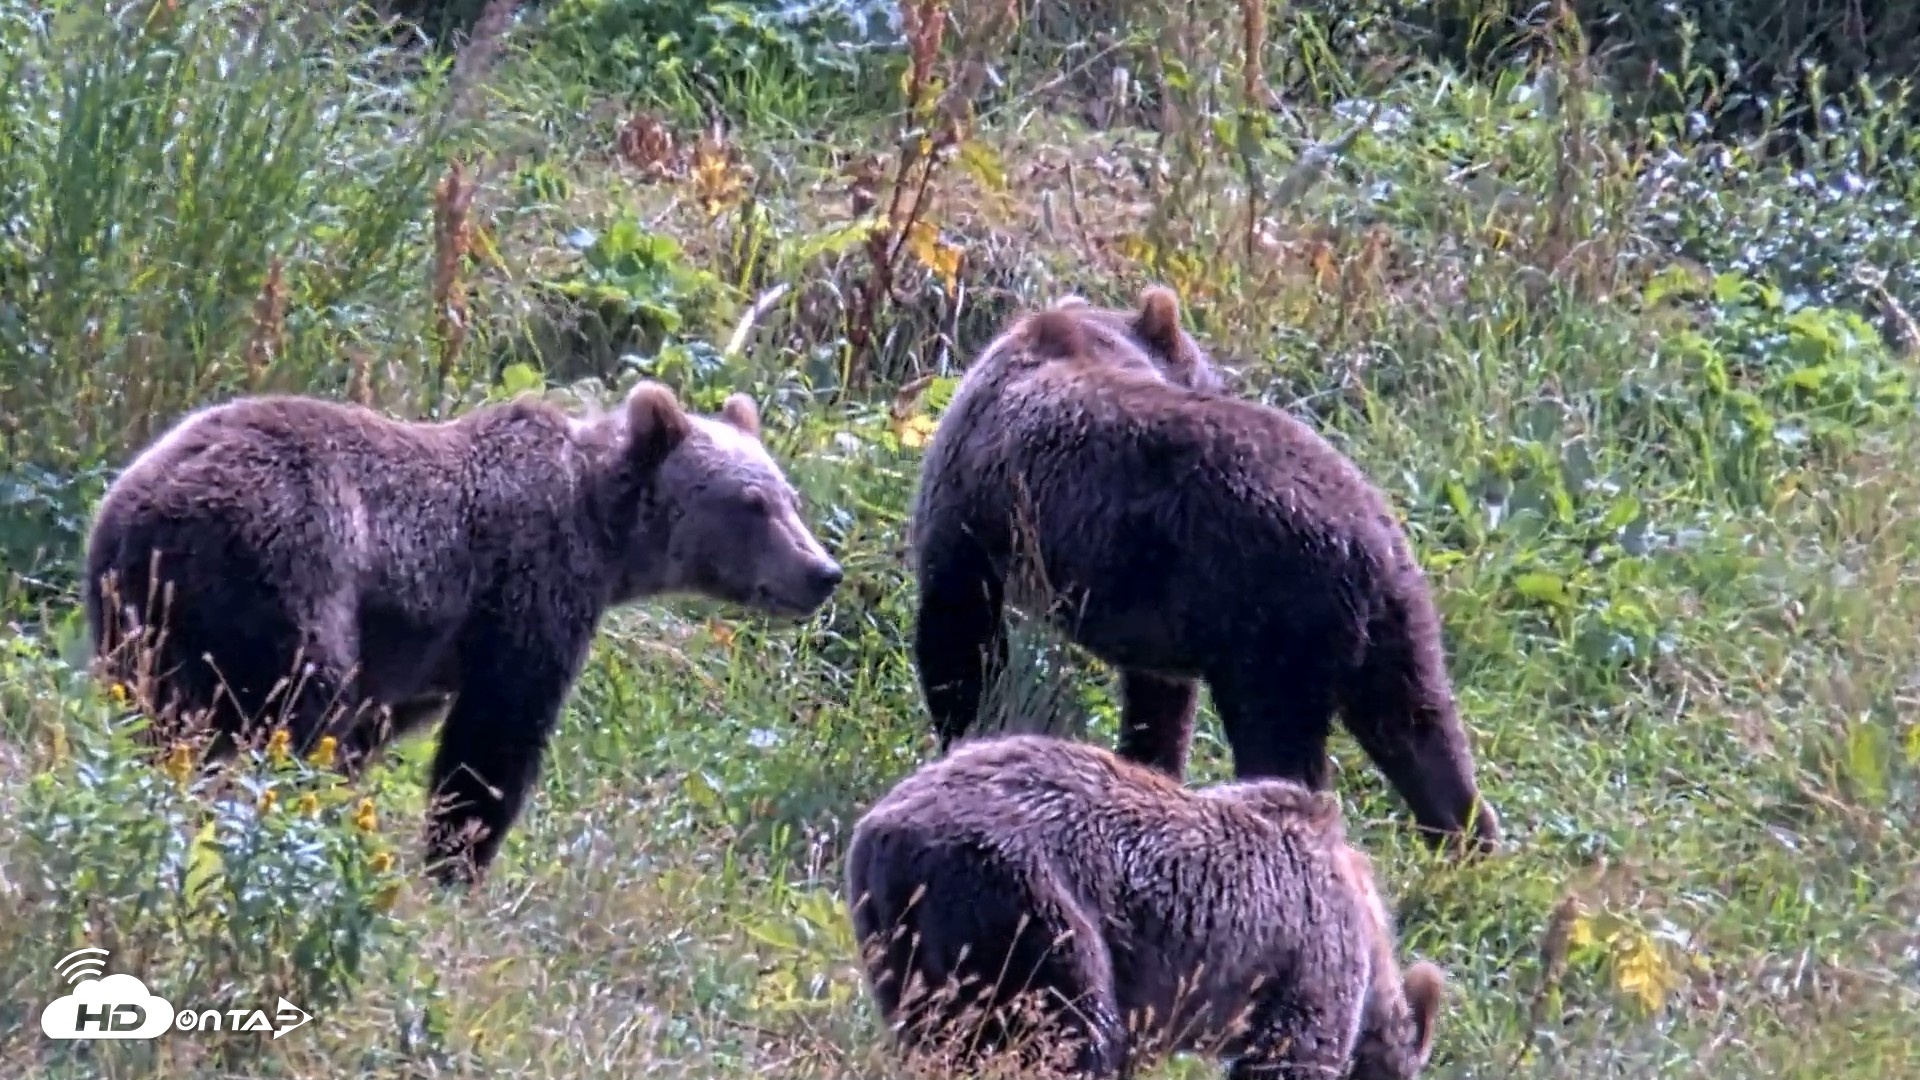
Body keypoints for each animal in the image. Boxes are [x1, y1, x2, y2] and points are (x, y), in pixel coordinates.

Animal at [83, 379, 843, 888]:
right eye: (751, 504)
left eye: (790, 497)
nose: (822, 571)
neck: (605, 532)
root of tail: (149, 505)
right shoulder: (530, 594)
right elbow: (493, 742)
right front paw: (458, 862)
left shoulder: (417, 657)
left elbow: (378, 728)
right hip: (290, 569)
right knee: (293, 708)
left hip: (140, 618)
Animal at [844, 733, 1447, 1080]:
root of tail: (886, 829)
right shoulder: (1311, 954)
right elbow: (1291, 1055)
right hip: (1029, 901)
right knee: (1074, 1029)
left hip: (902, 940)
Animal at [907, 283, 1501, 856]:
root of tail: (1364, 545)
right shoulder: (1154, 610)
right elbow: (1159, 704)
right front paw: (1146, 768)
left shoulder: (971, 510)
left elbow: (956, 637)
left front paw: (964, 732)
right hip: (1396, 621)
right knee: (1421, 728)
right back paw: (1463, 843)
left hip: (1273, 628)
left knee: (1280, 739)